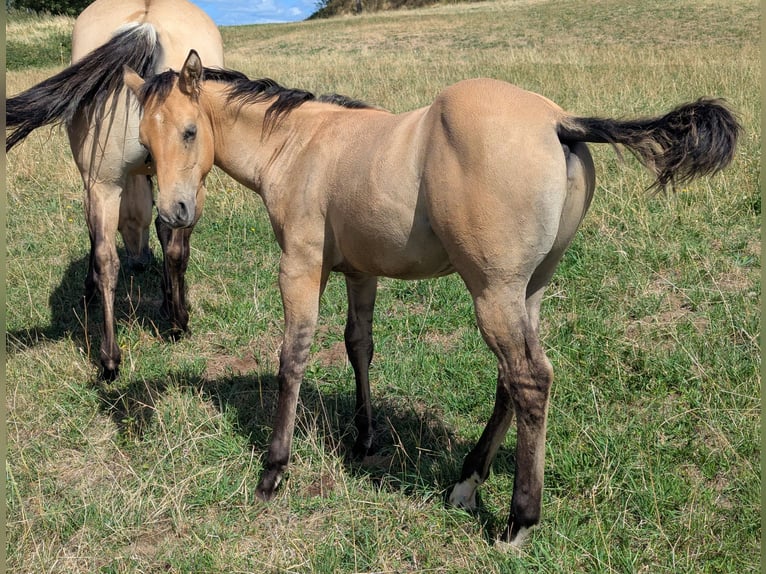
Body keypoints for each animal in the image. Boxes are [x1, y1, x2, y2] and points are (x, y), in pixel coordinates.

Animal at [6, 0, 224, 380]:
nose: (140, 261)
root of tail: (148, 25)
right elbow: (169, 236)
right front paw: (171, 304)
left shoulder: (101, 187)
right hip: (178, 187)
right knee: (172, 249)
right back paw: (173, 325)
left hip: (103, 184)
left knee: (108, 259)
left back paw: (109, 358)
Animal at [124, 50, 740, 545]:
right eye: (145, 143)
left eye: (188, 131)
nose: (173, 213)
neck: (299, 145)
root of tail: (559, 122)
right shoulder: (360, 271)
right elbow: (359, 345)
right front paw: (364, 438)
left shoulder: (300, 267)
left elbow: (291, 358)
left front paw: (273, 472)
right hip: (526, 290)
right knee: (512, 379)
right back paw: (467, 482)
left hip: (492, 290)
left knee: (529, 379)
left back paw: (518, 521)